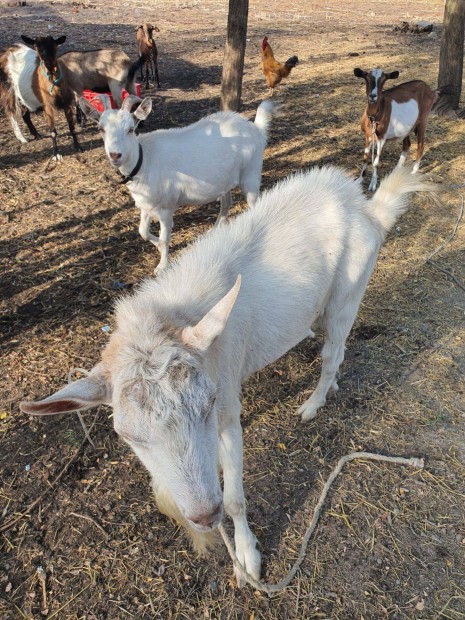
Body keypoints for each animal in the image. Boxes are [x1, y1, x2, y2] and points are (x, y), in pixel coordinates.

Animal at [19, 163, 436, 588]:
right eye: (127, 436)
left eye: (209, 405)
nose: (205, 516)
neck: (173, 315)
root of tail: (366, 208)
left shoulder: (227, 408)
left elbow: (235, 497)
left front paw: (248, 560)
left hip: (347, 295)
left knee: (334, 351)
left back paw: (313, 404)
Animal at [79, 96, 274, 272]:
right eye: (101, 128)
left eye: (131, 129)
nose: (115, 155)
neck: (145, 160)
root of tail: (256, 128)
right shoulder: (146, 204)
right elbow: (142, 231)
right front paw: (157, 247)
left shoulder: (166, 207)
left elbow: (165, 238)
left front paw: (162, 266)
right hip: (224, 181)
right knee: (226, 203)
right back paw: (214, 231)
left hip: (250, 174)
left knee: (255, 202)